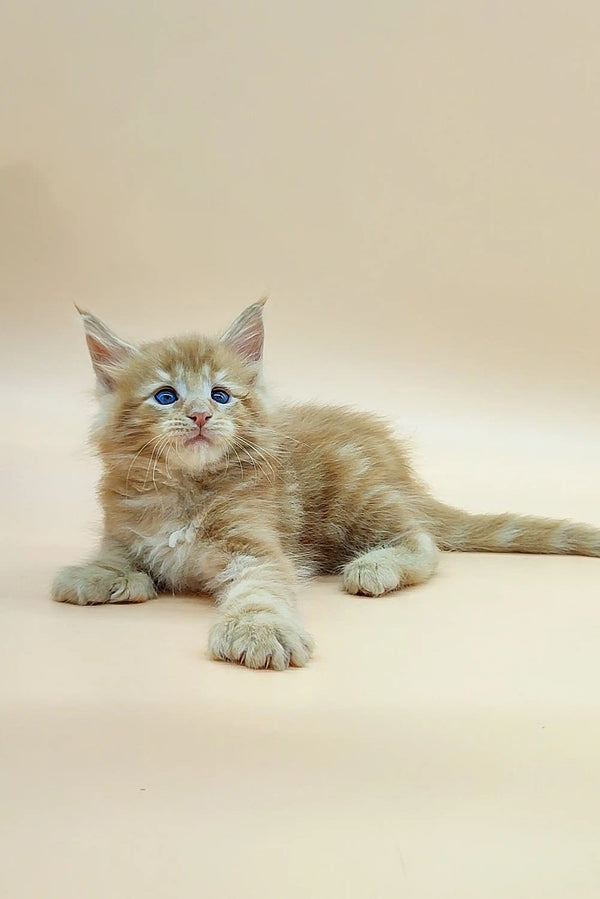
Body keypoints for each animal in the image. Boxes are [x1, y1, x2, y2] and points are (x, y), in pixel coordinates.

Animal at [52, 302, 600, 668]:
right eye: (165, 396)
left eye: (221, 394)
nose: (202, 415)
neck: (184, 490)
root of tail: (401, 472)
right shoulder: (123, 530)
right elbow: (118, 558)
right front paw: (94, 576)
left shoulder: (256, 544)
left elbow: (261, 588)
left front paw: (259, 630)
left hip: (358, 494)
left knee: (423, 541)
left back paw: (376, 566)